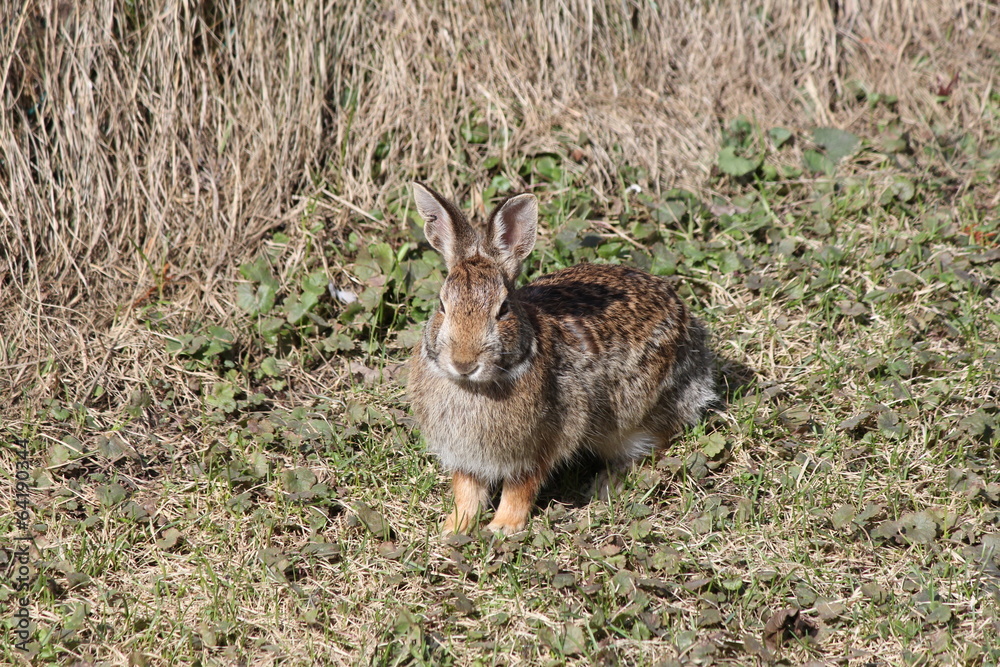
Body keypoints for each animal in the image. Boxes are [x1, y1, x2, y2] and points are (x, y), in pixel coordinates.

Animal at [407, 182, 718, 534]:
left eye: (503, 309)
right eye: (442, 306)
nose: (463, 363)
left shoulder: (542, 443)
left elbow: (521, 486)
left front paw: (503, 528)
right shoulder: (464, 455)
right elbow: (466, 489)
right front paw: (454, 527)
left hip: (638, 415)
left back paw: (605, 484)